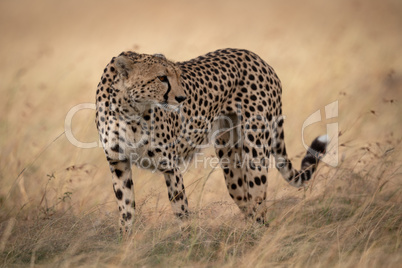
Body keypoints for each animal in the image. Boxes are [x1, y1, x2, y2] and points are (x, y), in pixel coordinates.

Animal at [96, 48, 328, 234]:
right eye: (161, 78)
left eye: (178, 76)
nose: (182, 99)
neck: (129, 110)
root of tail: (255, 57)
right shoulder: (118, 164)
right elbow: (126, 210)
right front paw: (125, 243)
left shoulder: (170, 166)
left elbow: (180, 210)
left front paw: (184, 244)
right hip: (231, 166)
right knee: (246, 202)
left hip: (255, 153)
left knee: (259, 203)